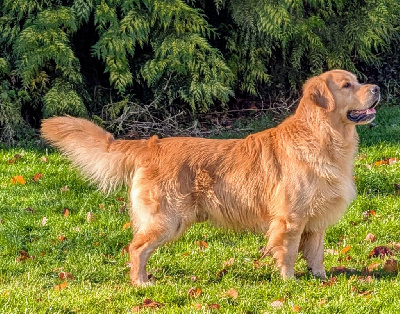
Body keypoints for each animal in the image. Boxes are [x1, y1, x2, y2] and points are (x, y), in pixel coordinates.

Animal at [41, 70, 382, 286]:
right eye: (347, 85)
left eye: (357, 80)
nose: (377, 88)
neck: (323, 137)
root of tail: (151, 144)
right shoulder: (290, 219)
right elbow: (286, 253)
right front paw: (288, 283)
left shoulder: (316, 220)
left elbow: (316, 253)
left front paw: (320, 279)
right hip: (167, 219)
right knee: (135, 249)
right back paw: (141, 284)